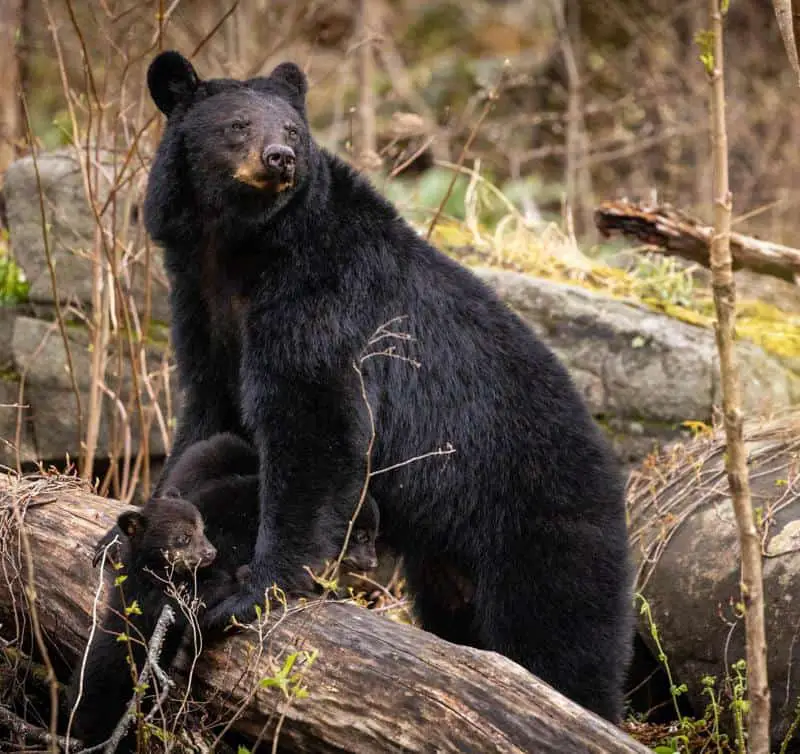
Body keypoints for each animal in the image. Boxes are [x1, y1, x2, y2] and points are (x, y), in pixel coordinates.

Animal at [98, 50, 632, 720]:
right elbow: (209, 417)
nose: (281, 157)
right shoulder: (201, 304)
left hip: (540, 516)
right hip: (452, 561)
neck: (245, 247)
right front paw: (132, 529)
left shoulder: (321, 300)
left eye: (293, 130)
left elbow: (314, 425)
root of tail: (611, 469)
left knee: (561, 632)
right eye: (238, 125)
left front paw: (252, 591)